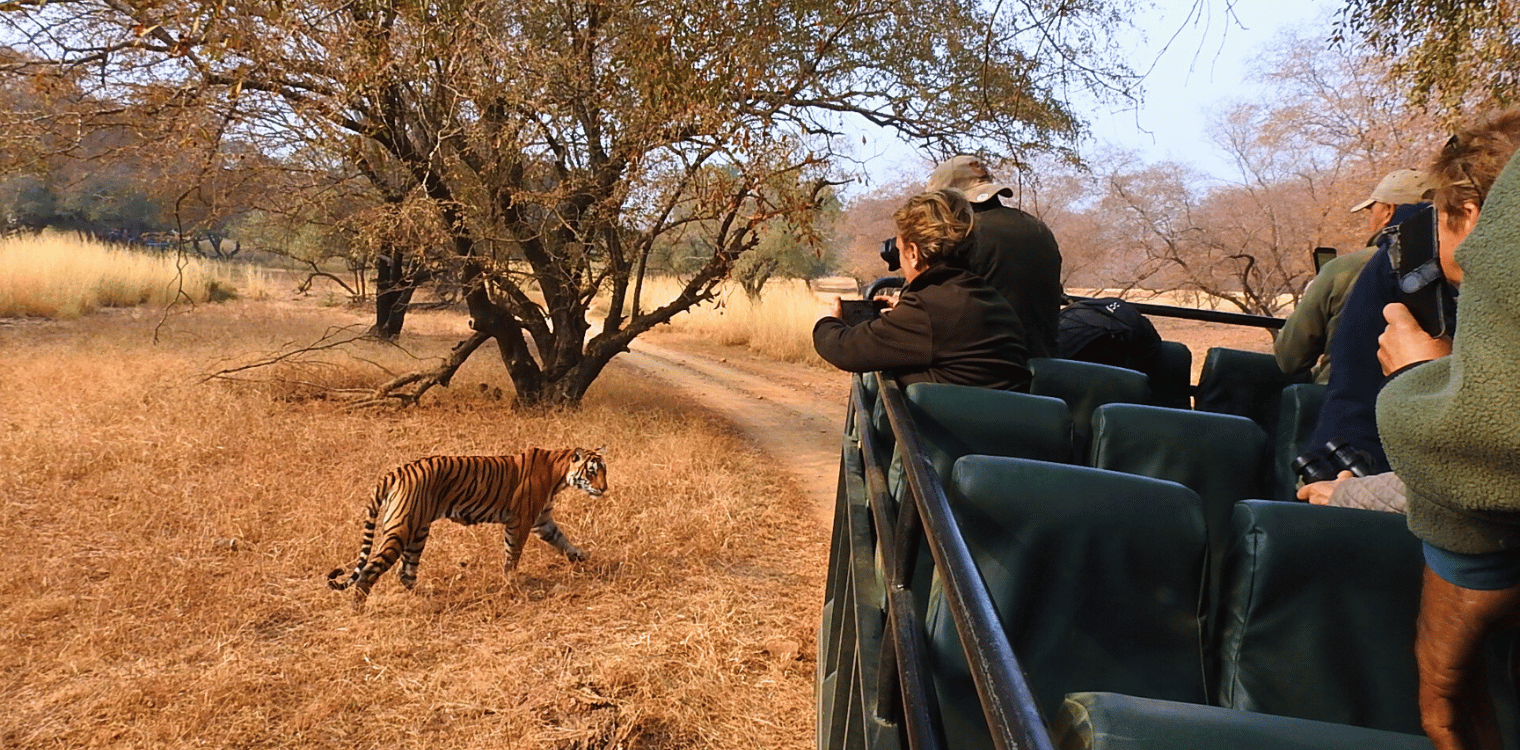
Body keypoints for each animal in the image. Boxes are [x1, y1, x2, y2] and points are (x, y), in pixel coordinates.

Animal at [327, 446, 607, 607]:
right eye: (592, 471)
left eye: (604, 470)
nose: (604, 489)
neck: (558, 473)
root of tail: (396, 471)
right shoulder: (521, 521)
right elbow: (512, 555)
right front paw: (511, 584)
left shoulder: (542, 521)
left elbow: (563, 540)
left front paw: (583, 557)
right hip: (402, 529)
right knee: (369, 571)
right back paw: (358, 609)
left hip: (417, 532)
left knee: (406, 572)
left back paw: (428, 595)